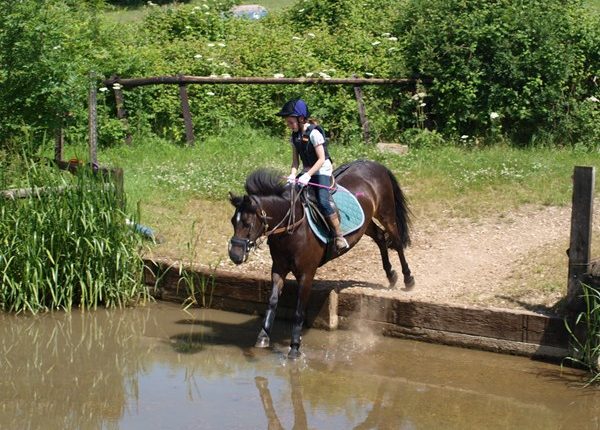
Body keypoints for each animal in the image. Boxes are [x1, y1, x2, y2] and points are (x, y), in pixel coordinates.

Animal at [227, 160, 414, 358]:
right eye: (232, 221)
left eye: (247, 223)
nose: (235, 255)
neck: (291, 228)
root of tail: (372, 163)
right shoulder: (278, 268)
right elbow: (272, 302)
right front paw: (263, 337)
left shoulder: (306, 274)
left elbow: (299, 311)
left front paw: (295, 347)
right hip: (366, 221)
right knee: (380, 238)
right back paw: (391, 275)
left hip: (386, 213)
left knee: (397, 242)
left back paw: (408, 279)